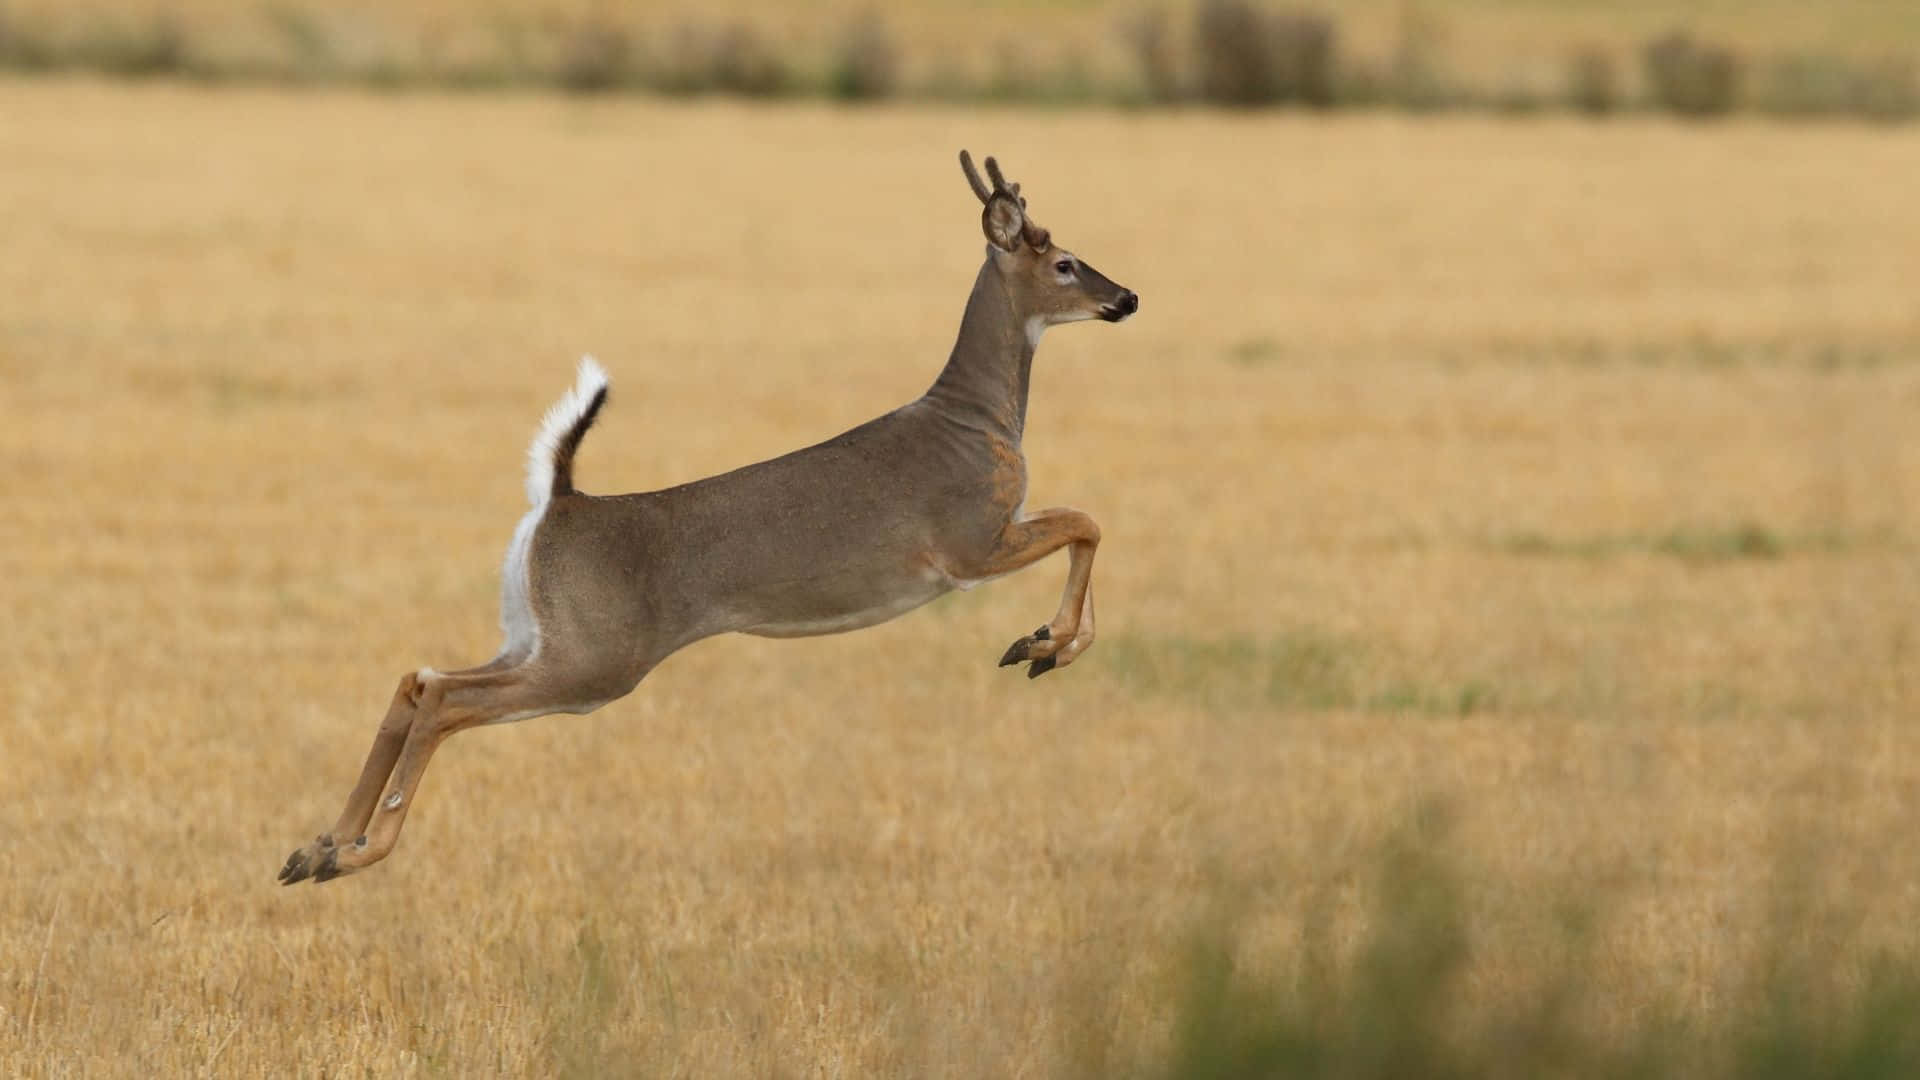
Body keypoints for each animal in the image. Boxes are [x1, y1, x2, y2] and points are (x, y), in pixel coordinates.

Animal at [278, 151, 1138, 883]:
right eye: (1063, 262)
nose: (1125, 297)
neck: (976, 419)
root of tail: (557, 500)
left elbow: (1086, 526)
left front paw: (1044, 645)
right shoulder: (967, 544)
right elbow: (1087, 520)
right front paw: (1042, 645)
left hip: (537, 635)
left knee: (419, 679)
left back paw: (316, 848)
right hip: (596, 658)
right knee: (445, 701)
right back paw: (357, 852)